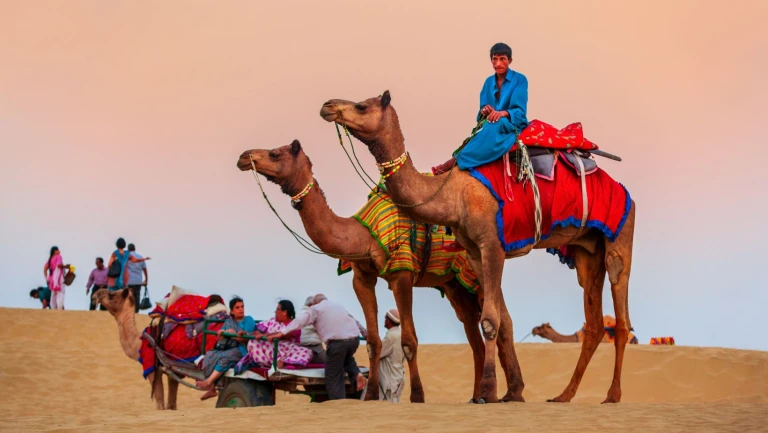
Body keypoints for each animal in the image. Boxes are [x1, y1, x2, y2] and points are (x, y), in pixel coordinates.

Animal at [234, 141, 520, 402]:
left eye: (274, 153)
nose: (244, 157)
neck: (362, 236)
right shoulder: (362, 277)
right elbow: (373, 342)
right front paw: (370, 395)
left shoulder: (402, 273)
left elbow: (408, 340)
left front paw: (417, 396)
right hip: (454, 284)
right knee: (474, 333)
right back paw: (480, 396)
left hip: (476, 269)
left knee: (500, 319)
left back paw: (505, 394)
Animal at [318, 89, 636, 404]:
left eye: (362, 106)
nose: (328, 106)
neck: (453, 193)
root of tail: (622, 188)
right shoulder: (473, 252)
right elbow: (498, 320)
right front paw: (501, 393)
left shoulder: (492, 245)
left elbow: (491, 321)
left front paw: (488, 392)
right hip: (586, 250)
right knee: (593, 322)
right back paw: (563, 395)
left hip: (620, 233)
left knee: (620, 311)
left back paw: (612, 395)